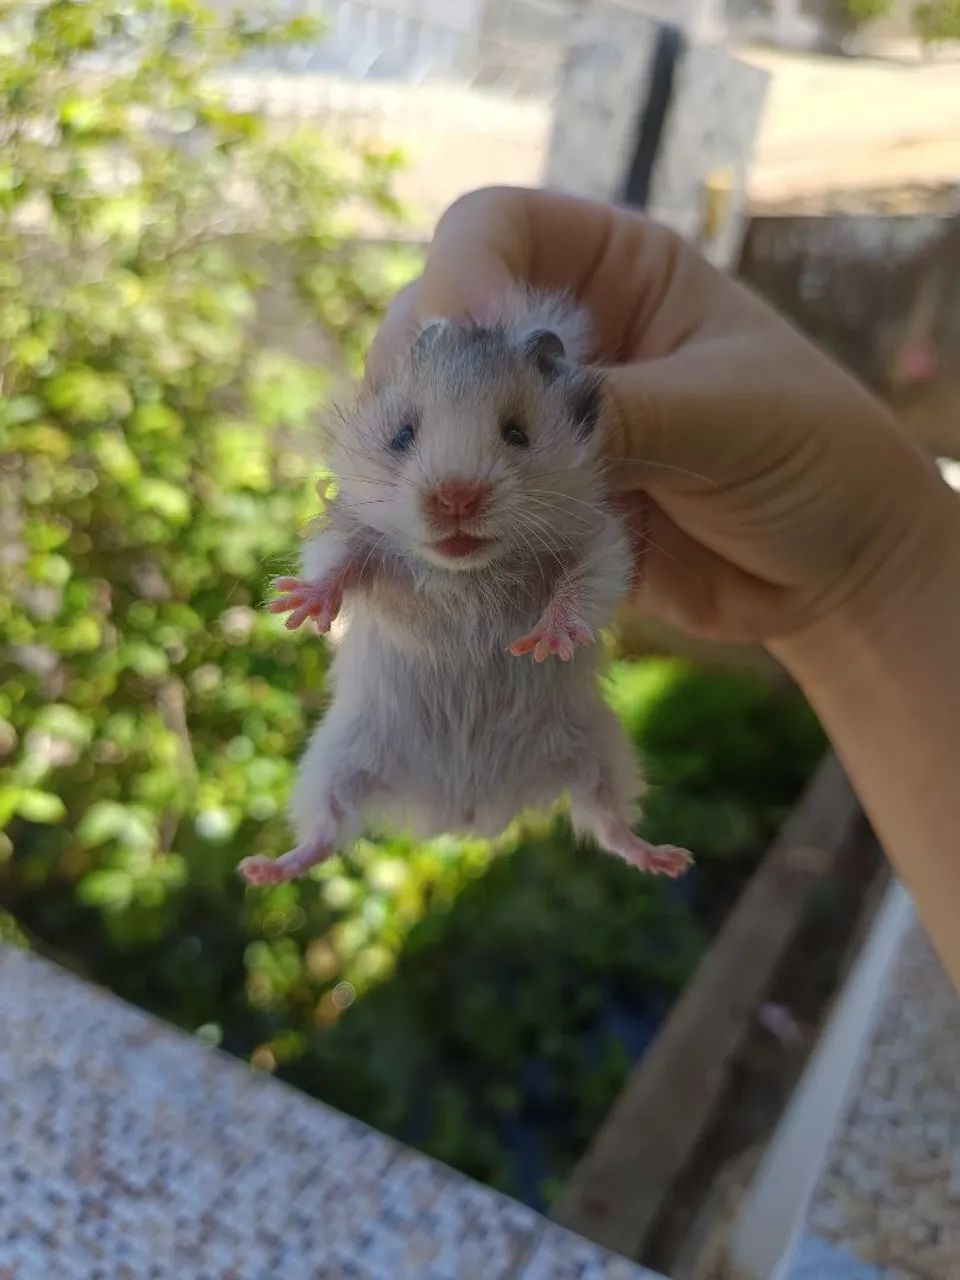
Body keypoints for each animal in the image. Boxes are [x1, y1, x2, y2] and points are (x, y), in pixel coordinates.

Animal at [238, 290, 692, 886]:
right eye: (402, 436)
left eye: (517, 433)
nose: (455, 497)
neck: (466, 575)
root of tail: (464, 811)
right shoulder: (354, 532)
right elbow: (337, 563)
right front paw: (295, 607)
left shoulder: (597, 542)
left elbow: (584, 586)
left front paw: (547, 642)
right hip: (333, 762)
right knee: (324, 831)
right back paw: (260, 870)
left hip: (602, 754)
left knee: (609, 822)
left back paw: (669, 860)